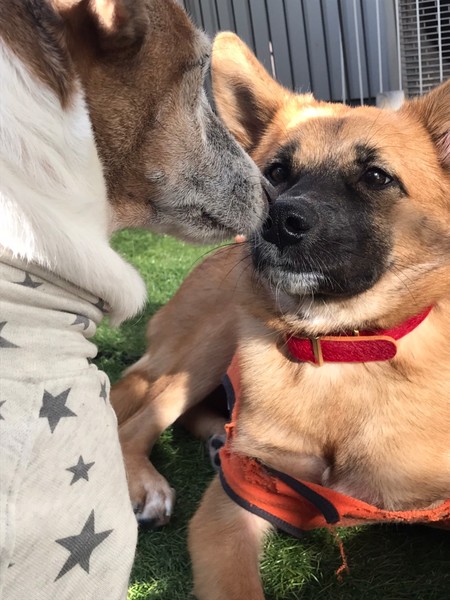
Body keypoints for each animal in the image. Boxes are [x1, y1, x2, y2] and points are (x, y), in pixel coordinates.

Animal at [111, 32, 450, 599]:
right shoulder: (229, 512)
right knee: (134, 421)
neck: (340, 349)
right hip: (209, 343)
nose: (275, 222)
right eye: (275, 172)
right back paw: (147, 485)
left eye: (376, 177)